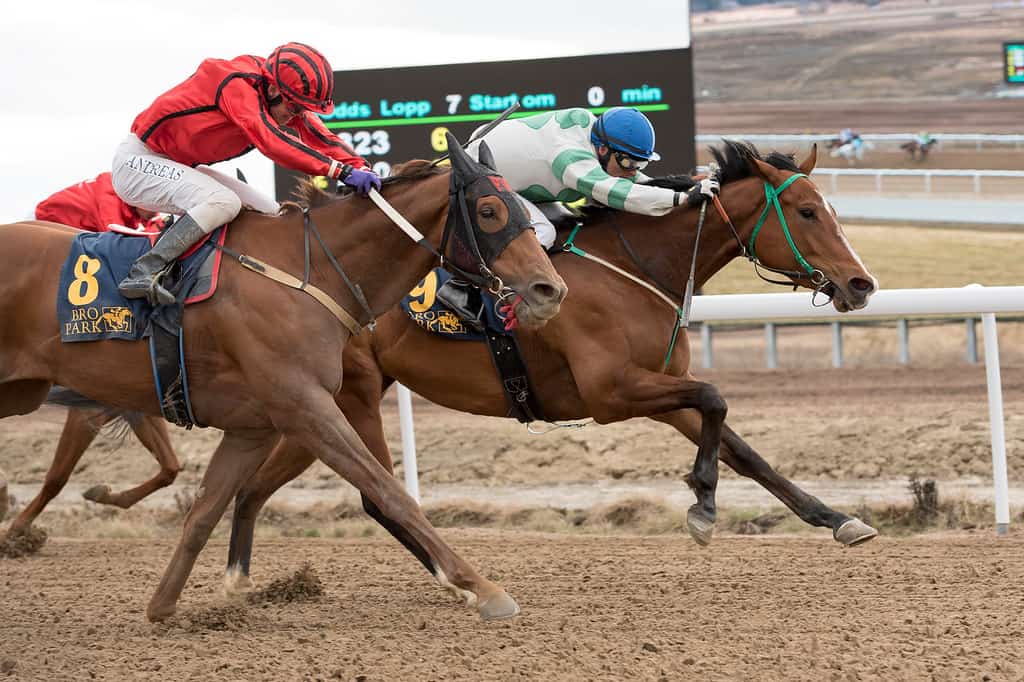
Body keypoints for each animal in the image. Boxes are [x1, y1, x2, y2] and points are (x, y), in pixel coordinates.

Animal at [0, 139, 565, 622]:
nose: (550, 290)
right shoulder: (306, 407)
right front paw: (480, 587)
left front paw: (165, 607)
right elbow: (388, 490)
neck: (305, 272)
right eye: (489, 211)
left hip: (21, 392)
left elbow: (204, 512)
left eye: (521, 206)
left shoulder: (255, 426)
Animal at [224, 139, 880, 589]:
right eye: (806, 212)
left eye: (829, 208)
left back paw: (240, 579)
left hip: (318, 404)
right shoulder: (612, 393)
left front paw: (835, 518)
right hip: (350, 395)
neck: (635, 269)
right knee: (373, 492)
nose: (862, 284)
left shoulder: (662, 387)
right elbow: (716, 398)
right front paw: (702, 504)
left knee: (260, 487)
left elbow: (741, 447)